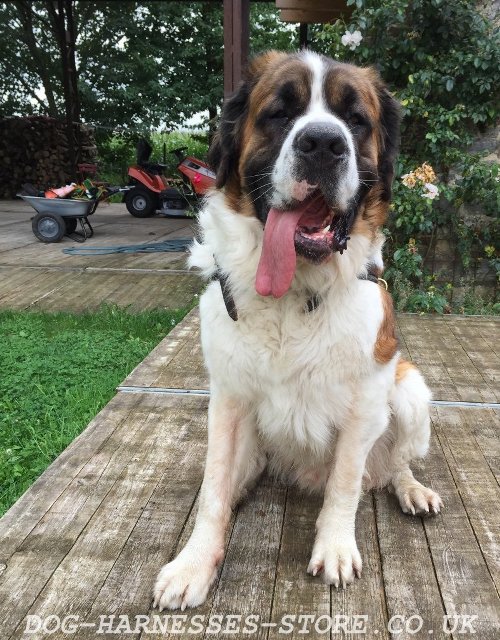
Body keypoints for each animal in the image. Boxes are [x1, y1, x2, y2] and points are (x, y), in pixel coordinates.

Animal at [152, 50, 442, 608]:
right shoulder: (228, 401)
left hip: (411, 392)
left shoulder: (365, 404)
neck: (292, 296)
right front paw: (195, 563)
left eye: (355, 121)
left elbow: (346, 483)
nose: (324, 144)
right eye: (280, 113)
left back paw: (411, 488)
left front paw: (335, 548)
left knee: (391, 465)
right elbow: (213, 488)